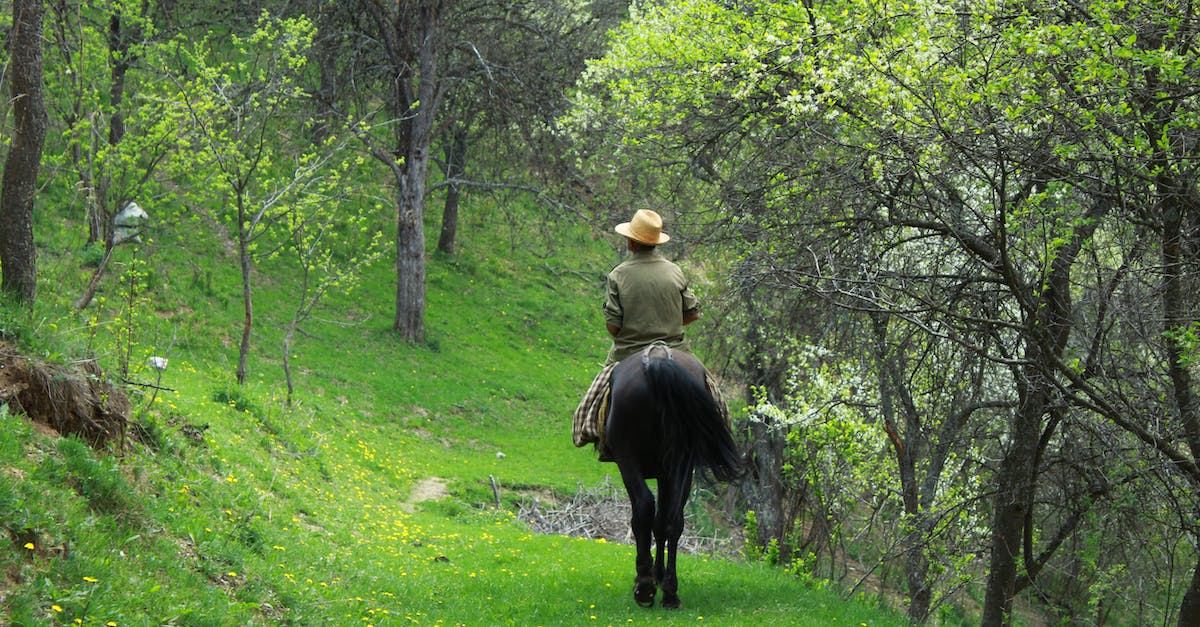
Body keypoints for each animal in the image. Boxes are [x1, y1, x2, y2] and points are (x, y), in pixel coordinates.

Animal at [604, 343, 742, 609]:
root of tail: (658, 359)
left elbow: (646, 520)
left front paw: (650, 577)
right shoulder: (667, 472)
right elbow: (663, 524)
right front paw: (660, 577)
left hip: (628, 459)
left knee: (645, 508)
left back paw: (644, 587)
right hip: (681, 464)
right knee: (673, 519)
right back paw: (669, 591)